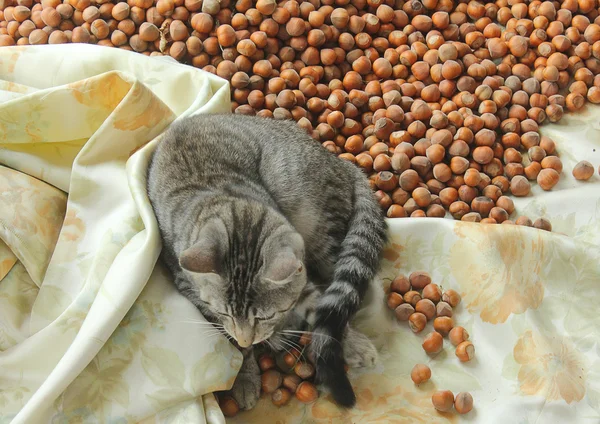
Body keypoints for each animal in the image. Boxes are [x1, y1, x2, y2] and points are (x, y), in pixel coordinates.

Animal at [148, 113, 386, 410]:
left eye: (265, 315)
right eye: (226, 313)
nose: (253, 336)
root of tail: (341, 161)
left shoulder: (301, 279)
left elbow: (325, 309)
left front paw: (350, 342)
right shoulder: (196, 296)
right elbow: (234, 343)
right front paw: (245, 374)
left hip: (314, 217)